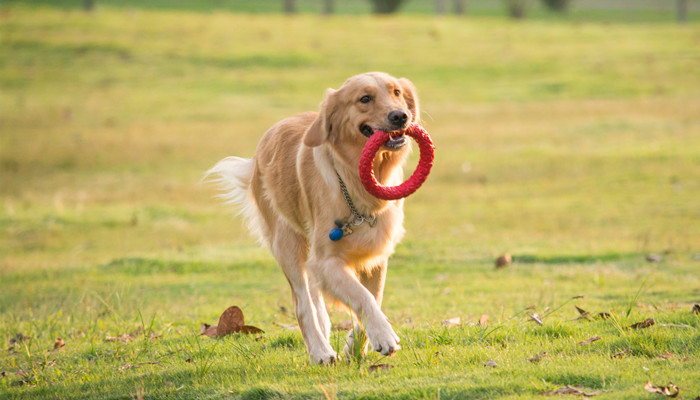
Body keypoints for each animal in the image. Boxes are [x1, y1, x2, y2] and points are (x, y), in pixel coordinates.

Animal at [205, 72, 418, 366]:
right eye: (365, 99)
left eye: (396, 92)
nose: (400, 116)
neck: (355, 182)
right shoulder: (326, 260)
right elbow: (362, 297)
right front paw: (384, 335)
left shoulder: (375, 256)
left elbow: (374, 297)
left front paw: (355, 347)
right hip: (287, 245)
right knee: (302, 304)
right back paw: (319, 350)